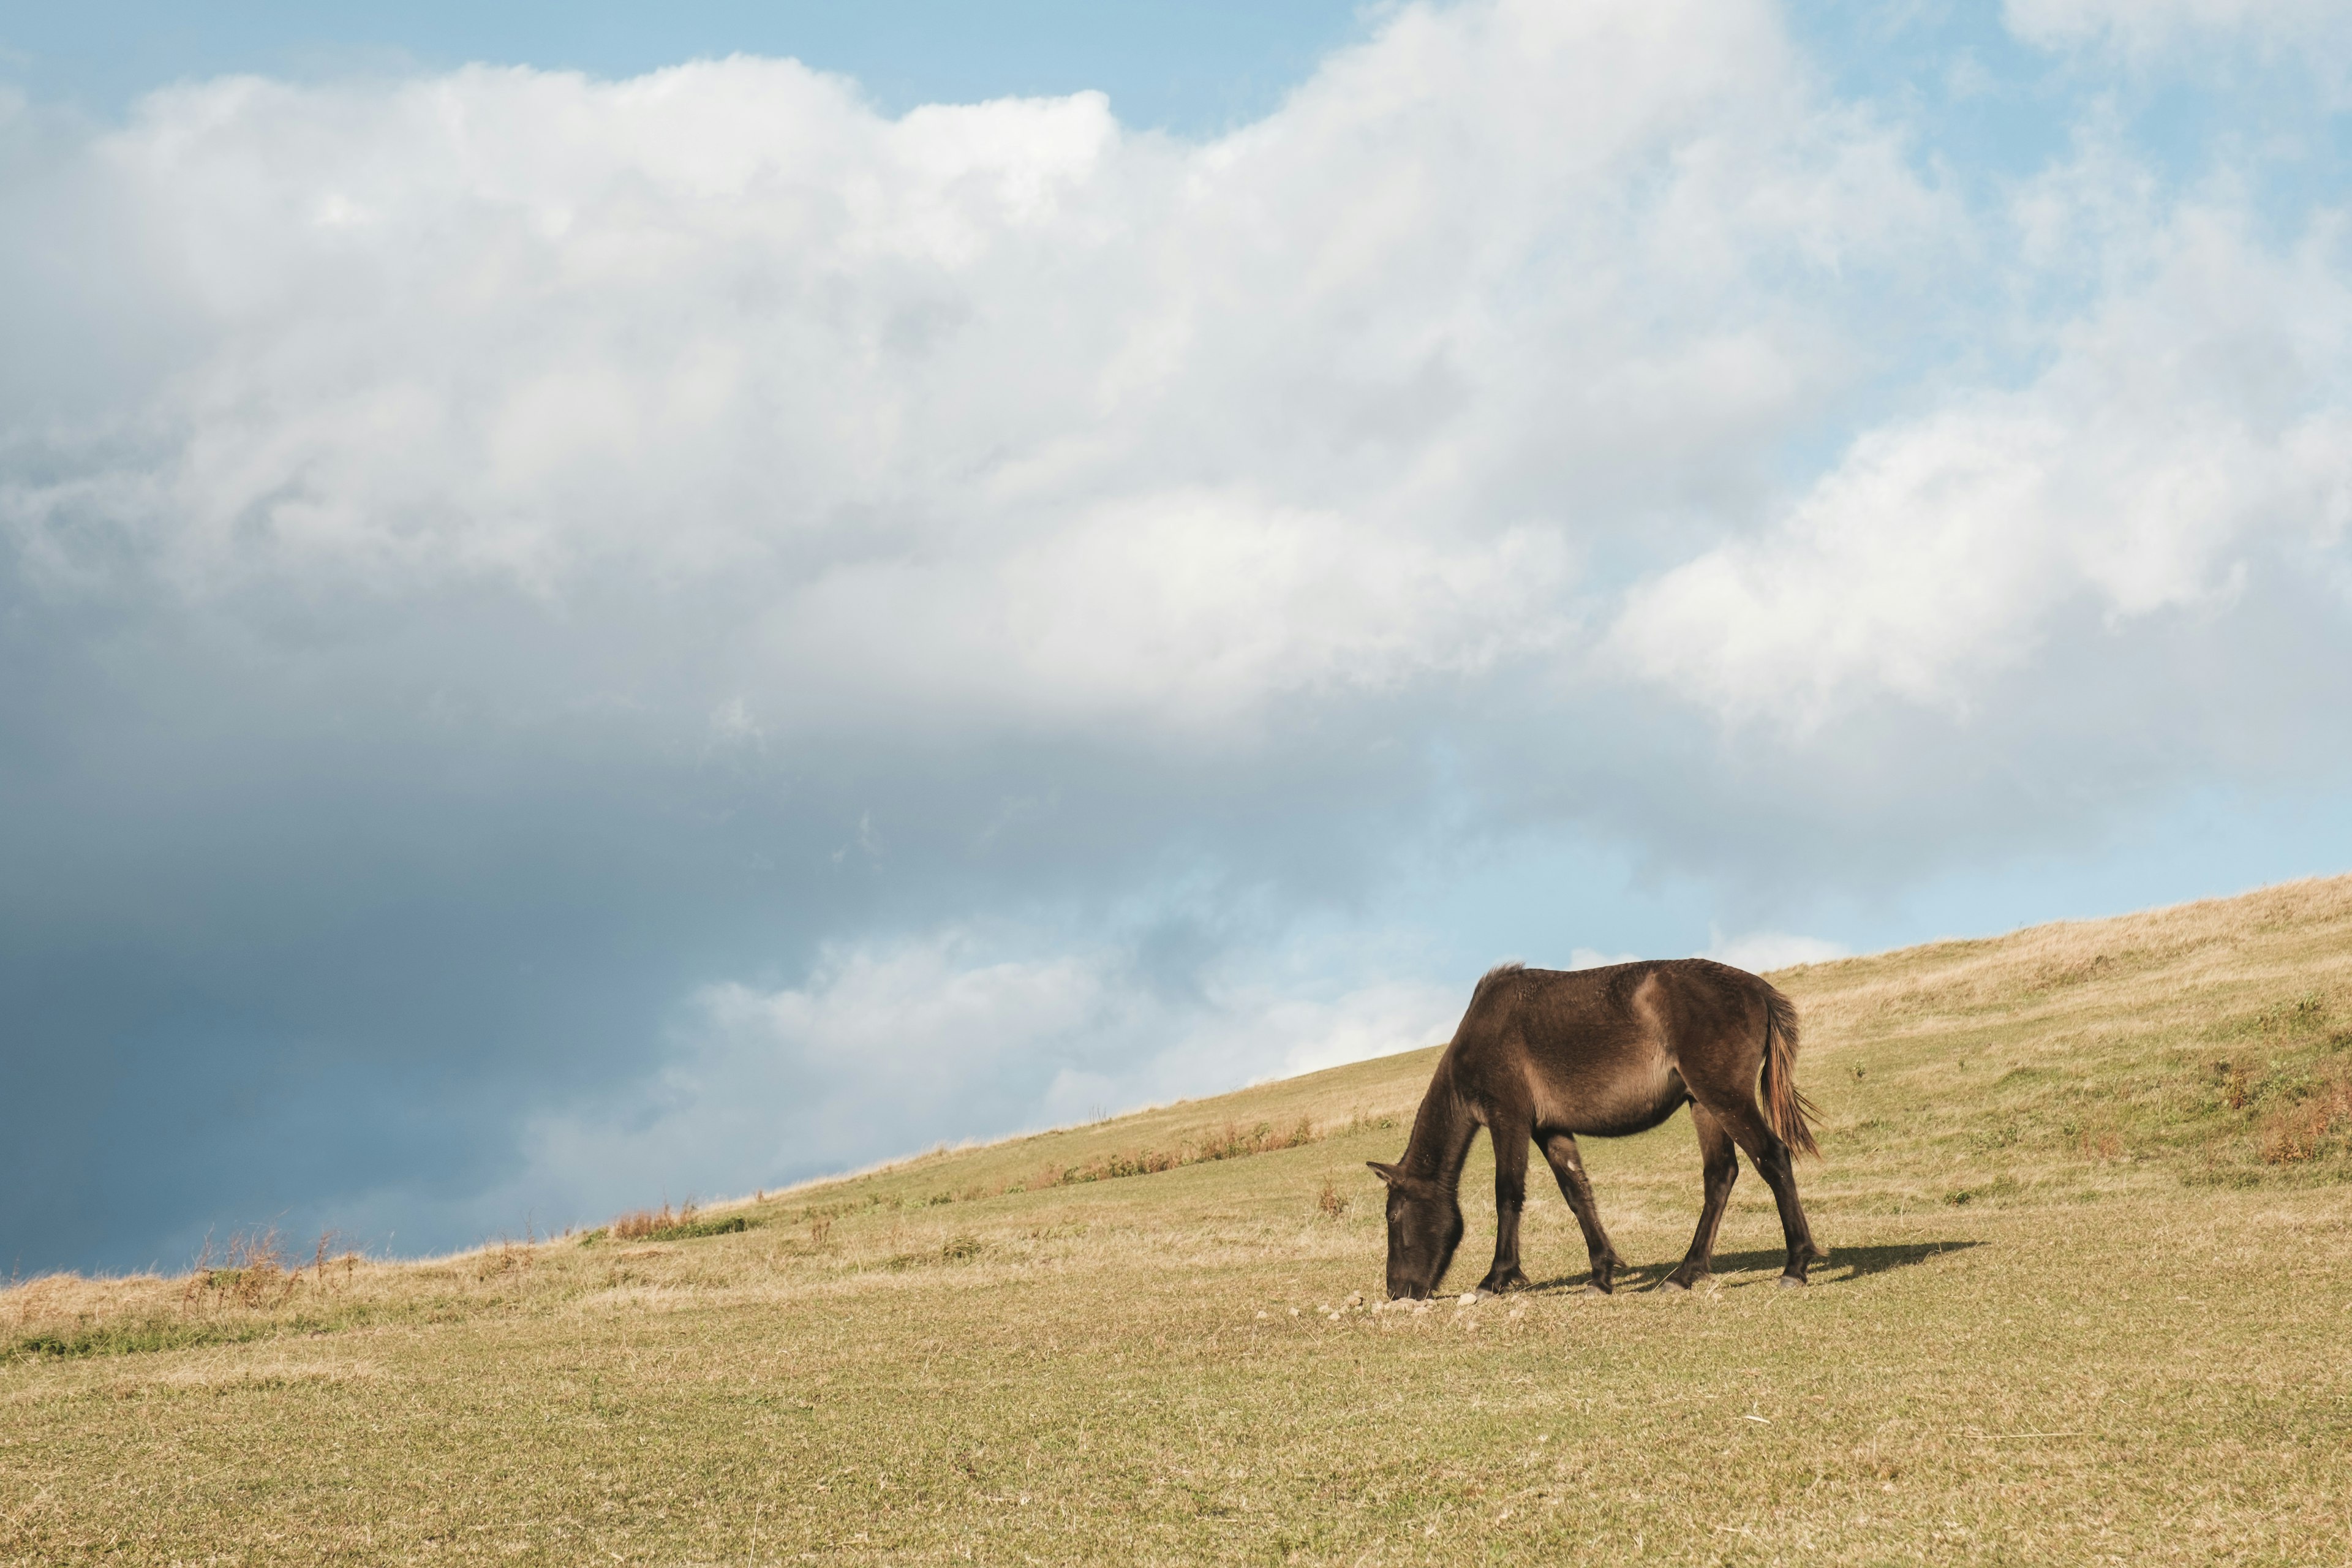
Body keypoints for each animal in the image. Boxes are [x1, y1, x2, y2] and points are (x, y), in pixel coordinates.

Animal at [1373, 959, 1825, 1297]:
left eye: (1394, 1216)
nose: (1396, 1291)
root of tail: (1756, 988)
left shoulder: (1509, 1119)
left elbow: (1508, 1194)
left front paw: (1496, 1278)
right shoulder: (1549, 1129)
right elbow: (1577, 1193)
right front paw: (1601, 1274)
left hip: (1723, 1097)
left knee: (1772, 1157)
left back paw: (1795, 1265)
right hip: (1703, 1104)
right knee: (1720, 1176)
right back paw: (1684, 1274)